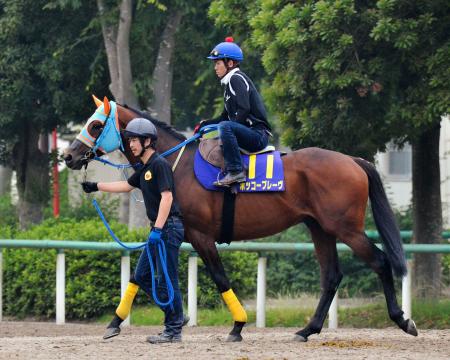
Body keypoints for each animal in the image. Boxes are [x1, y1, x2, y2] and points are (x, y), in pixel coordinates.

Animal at [63, 96, 418, 344]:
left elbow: (220, 279)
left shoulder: (200, 236)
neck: (175, 163)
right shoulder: (163, 234)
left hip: (345, 228)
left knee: (381, 262)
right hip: (320, 229)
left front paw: (237, 325)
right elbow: (139, 276)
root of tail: (354, 161)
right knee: (331, 276)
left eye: (95, 125)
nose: (68, 156)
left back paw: (402, 319)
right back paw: (307, 329)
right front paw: (115, 322)